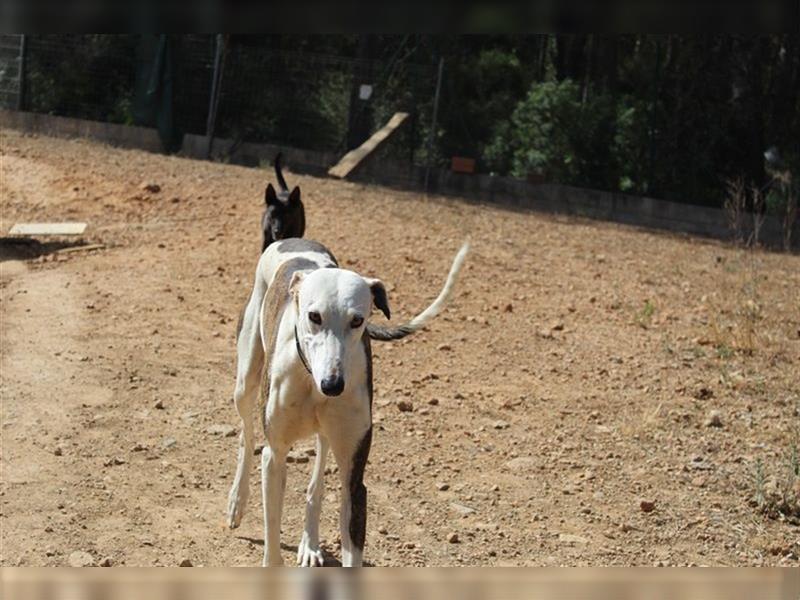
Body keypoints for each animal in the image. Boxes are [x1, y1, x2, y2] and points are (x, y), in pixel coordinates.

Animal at [227, 238, 468, 568]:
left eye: (358, 320)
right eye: (314, 316)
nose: (333, 385)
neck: (311, 379)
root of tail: (293, 240)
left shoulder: (354, 478)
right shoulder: (274, 457)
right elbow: (272, 537)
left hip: (329, 432)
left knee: (316, 480)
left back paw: (310, 544)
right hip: (246, 379)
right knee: (246, 435)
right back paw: (237, 501)